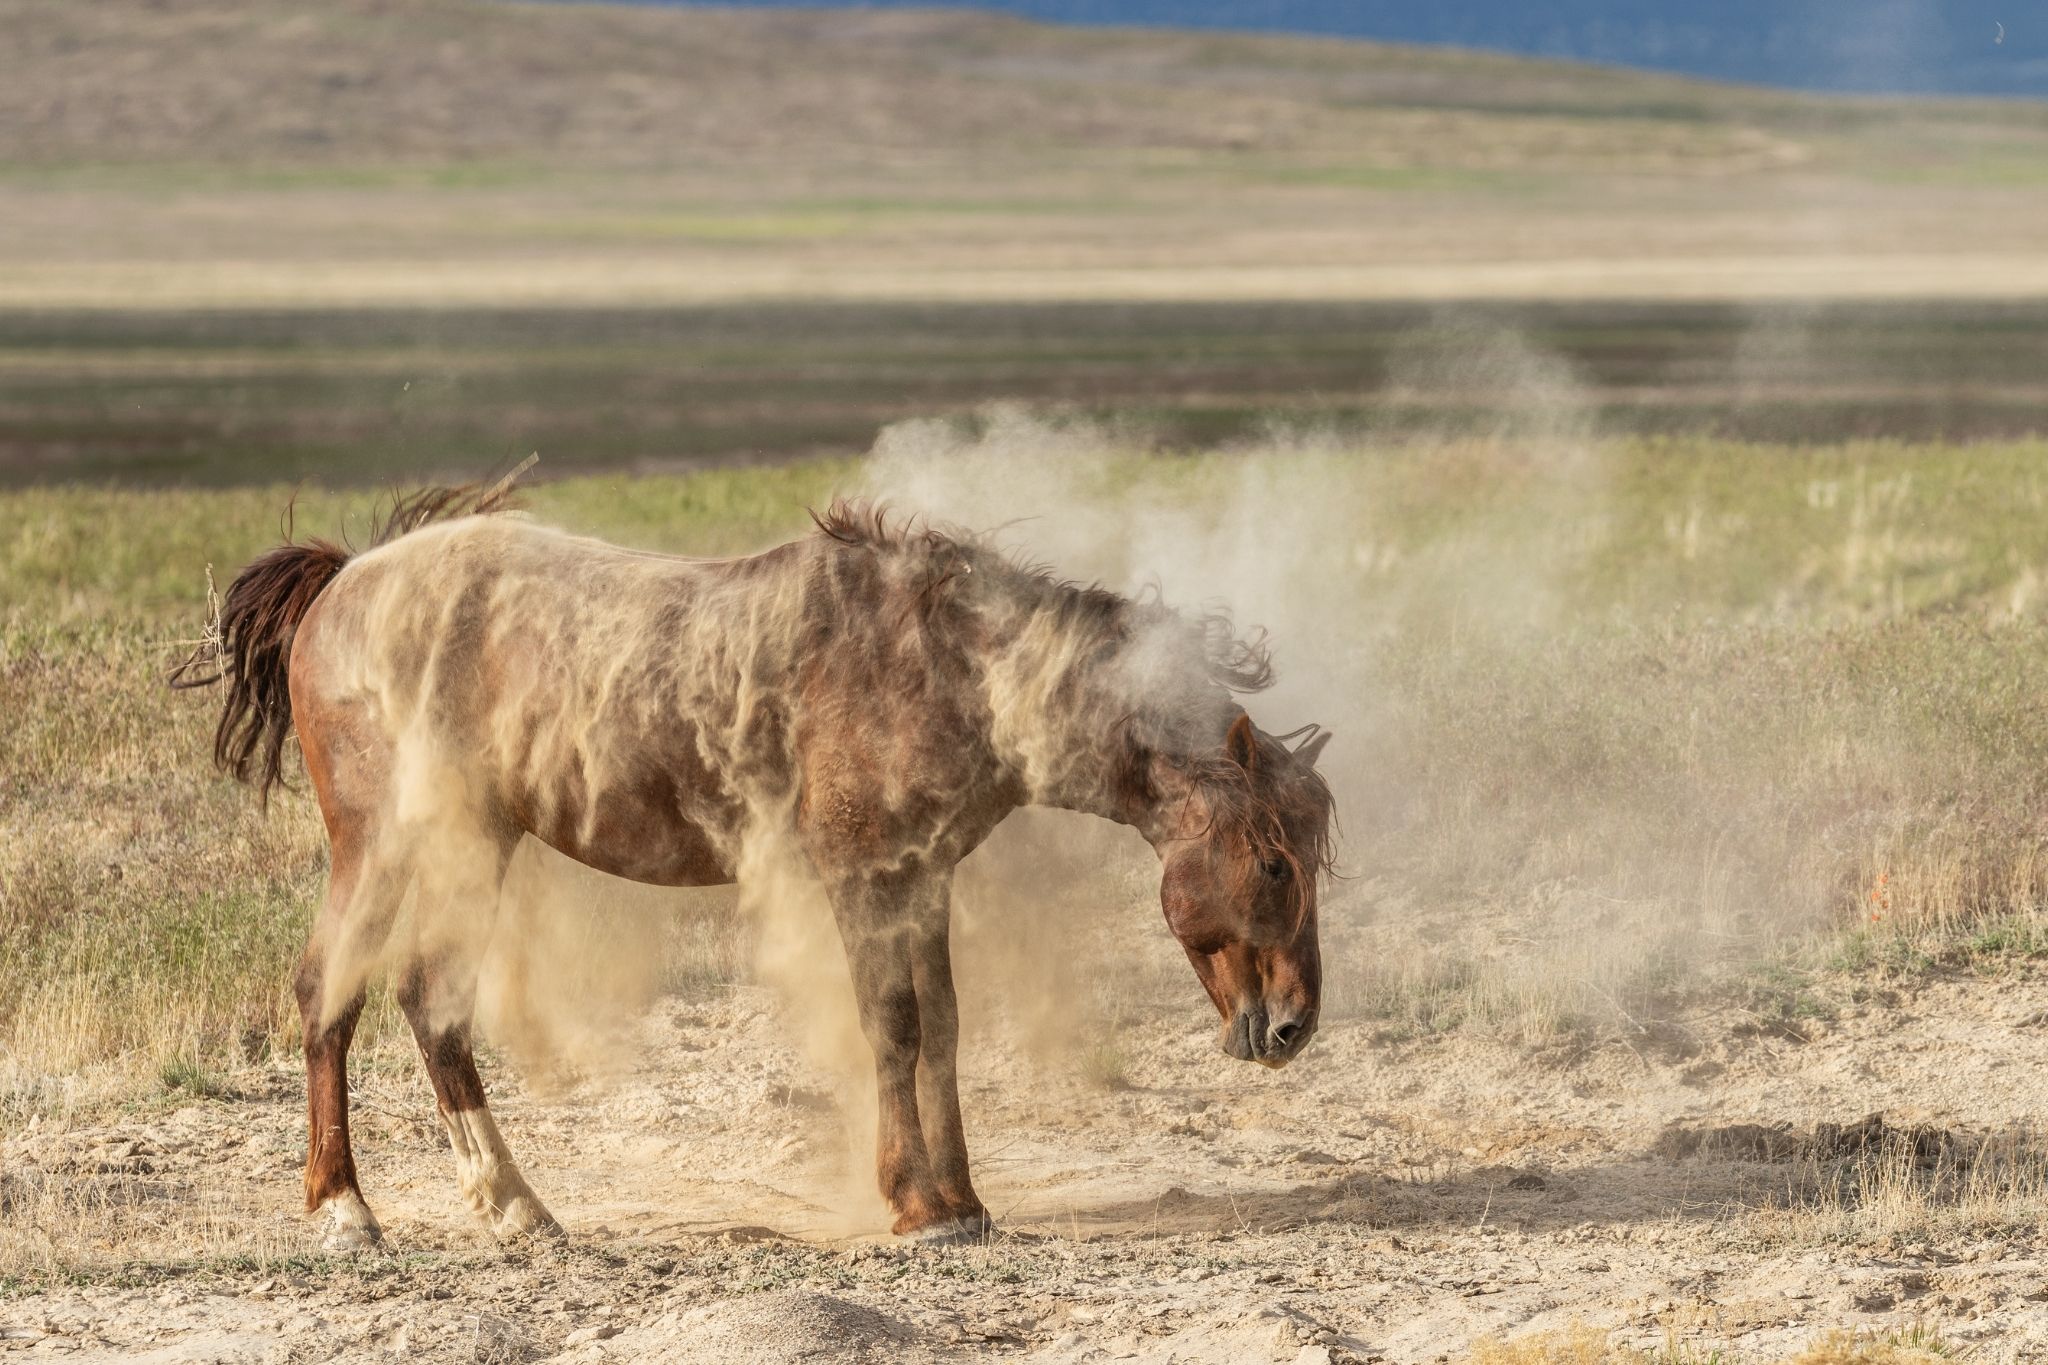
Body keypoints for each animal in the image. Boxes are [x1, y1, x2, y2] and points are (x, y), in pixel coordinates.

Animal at [173, 488, 1335, 1247]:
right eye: (1276, 864)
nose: (1291, 1028)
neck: (944, 667)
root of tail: (343, 581)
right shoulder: (865, 881)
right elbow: (894, 1028)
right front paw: (917, 1207)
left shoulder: (920, 883)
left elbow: (943, 1029)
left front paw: (962, 1200)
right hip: (383, 847)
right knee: (333, 993)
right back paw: (347, 1209)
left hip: (468, 848)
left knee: (427, 1004)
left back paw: (514, 1211)